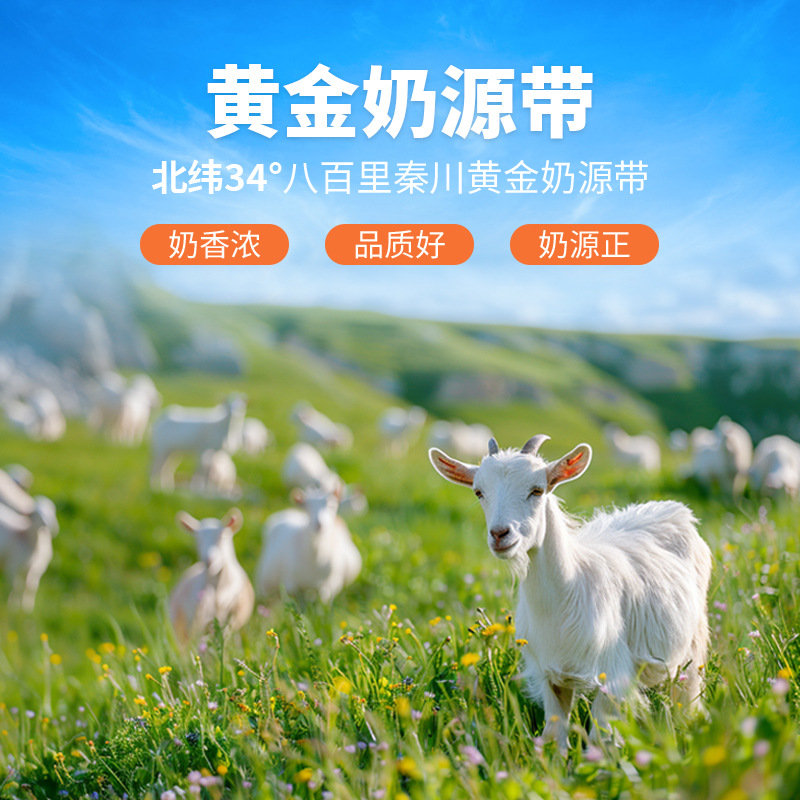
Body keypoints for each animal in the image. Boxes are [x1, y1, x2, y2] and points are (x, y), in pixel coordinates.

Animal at [430, 434, 711, 752]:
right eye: (479, 492)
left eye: (537, 490)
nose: (500, 534)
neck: (568, 592)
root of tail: (673, 508)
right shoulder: (550, 676)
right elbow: (555, 735)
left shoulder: (613, 674)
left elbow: (602, 738)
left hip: (695, 640)